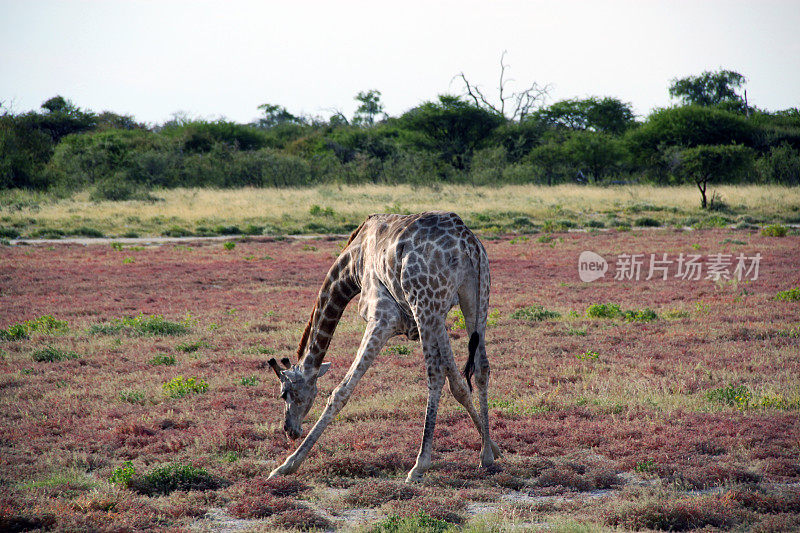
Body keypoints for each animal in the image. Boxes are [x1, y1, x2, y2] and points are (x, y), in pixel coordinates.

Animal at [266, 210, 500, 480]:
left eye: (284, 393)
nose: (289, 430)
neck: (353, 264)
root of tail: (467, 242)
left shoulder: (382, 318)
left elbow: (342, 390)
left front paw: (287, 464)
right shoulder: (437, 317)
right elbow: (459, 384)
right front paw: (491, 446)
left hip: (425, 303)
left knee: (434, 374)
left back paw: (419, 464)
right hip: (474, 298)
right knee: (481, 368)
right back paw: (485, 457)